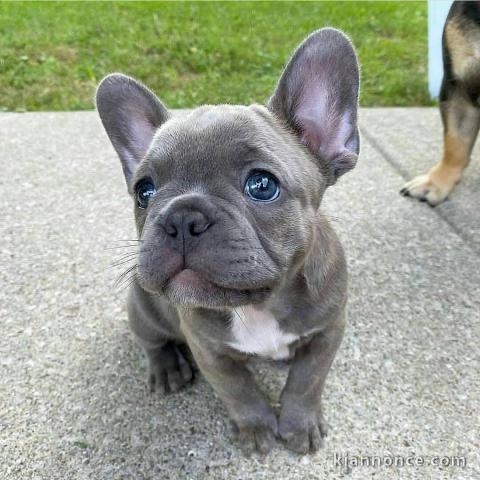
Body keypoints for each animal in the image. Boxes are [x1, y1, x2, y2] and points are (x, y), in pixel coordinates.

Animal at [95, 28, 360, 456]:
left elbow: (307, 380)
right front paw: (256, 428)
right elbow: (238, 390)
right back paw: (166, 368)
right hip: (142, 308)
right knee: (151, 341)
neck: (259, 304)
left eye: (262, 185)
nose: (182, 217)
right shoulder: (208, 350)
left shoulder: (328, 331)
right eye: (144, 191)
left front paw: (299, 424)